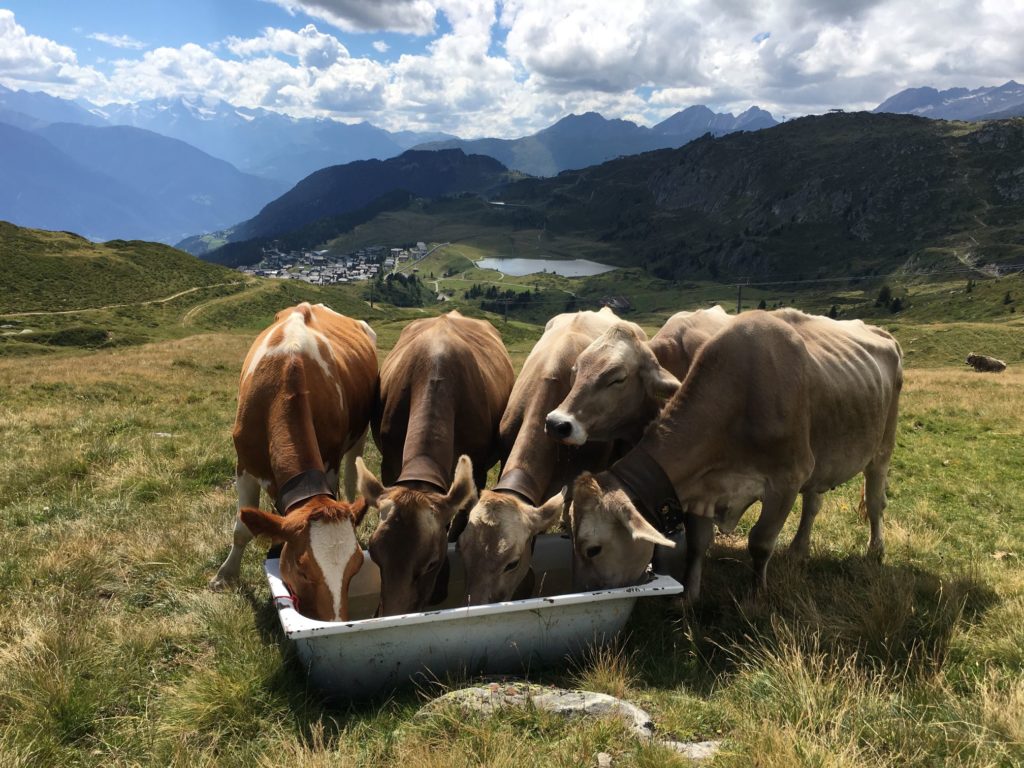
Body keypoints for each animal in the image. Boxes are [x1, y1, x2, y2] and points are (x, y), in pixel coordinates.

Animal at [209, 303, 378, 623]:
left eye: (355, 569)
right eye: (302, 569)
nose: (335, 621)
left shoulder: (329, 462)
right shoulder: (244, 465)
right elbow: (242, 528)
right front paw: (225, 576)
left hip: (360, 434)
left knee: (352, 476)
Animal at [568, 309, 903, 601]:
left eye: (592, 549)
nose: (586, 591)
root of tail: (884, 334)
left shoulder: (787, 479)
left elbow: (761, 542)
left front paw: (756, 595)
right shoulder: (702, 487)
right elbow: (697, 544)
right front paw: (689, 596)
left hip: (882, 447)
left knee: (876, 502)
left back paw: (875, 551)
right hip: (821, 461)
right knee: (812, 504)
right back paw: (798, 550)